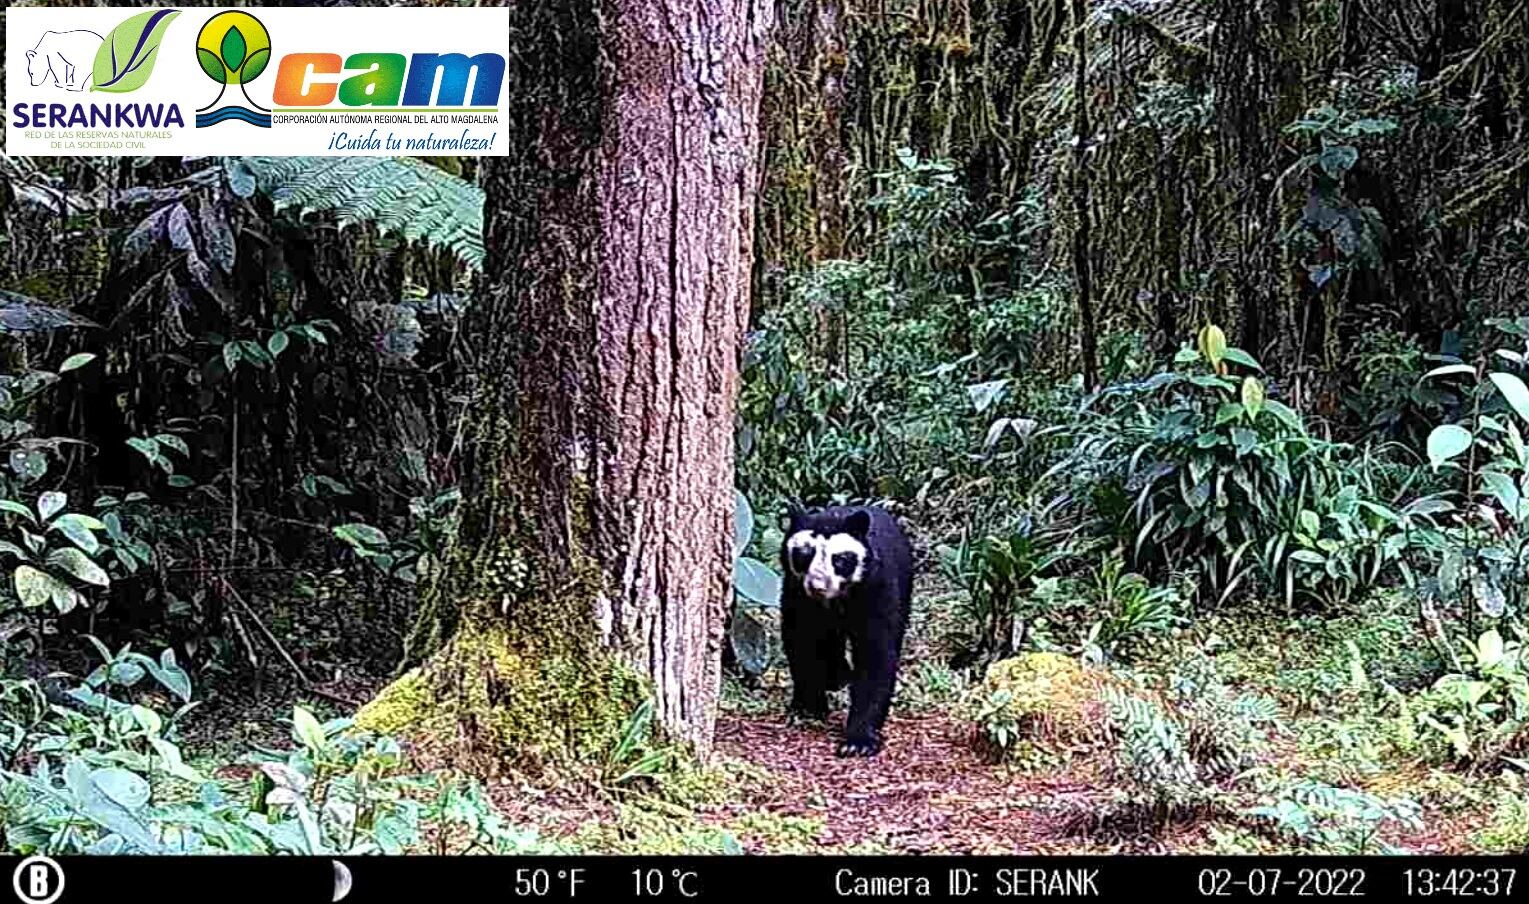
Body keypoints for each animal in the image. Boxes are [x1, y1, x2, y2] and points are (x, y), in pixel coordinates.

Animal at [779, 504, 913, 757]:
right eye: (804, 555)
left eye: (840, 559)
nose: (818, 587)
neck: (835, 599)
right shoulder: (796, 592)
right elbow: (802, 642)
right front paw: (810, 708)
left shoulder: (876, 587)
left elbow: (876, 652)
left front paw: (858, 742)